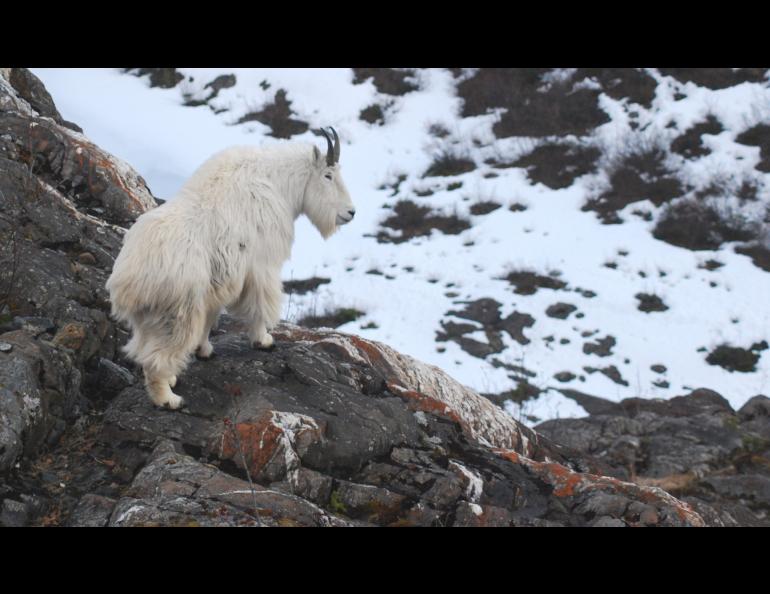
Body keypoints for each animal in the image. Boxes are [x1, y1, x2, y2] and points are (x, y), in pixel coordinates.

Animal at [105, 127, 354, 408]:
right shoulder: (261, 266)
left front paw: (204, 350)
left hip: (149, 319)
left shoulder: (221, 280)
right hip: (178, 312)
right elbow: (259, 305)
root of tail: (128, 280)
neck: (278, 183)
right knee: (156, 359)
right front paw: (264, 340)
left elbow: (212, 315)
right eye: (328, 175)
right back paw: (169, 399)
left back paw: (171, 380)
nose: (350, 212)